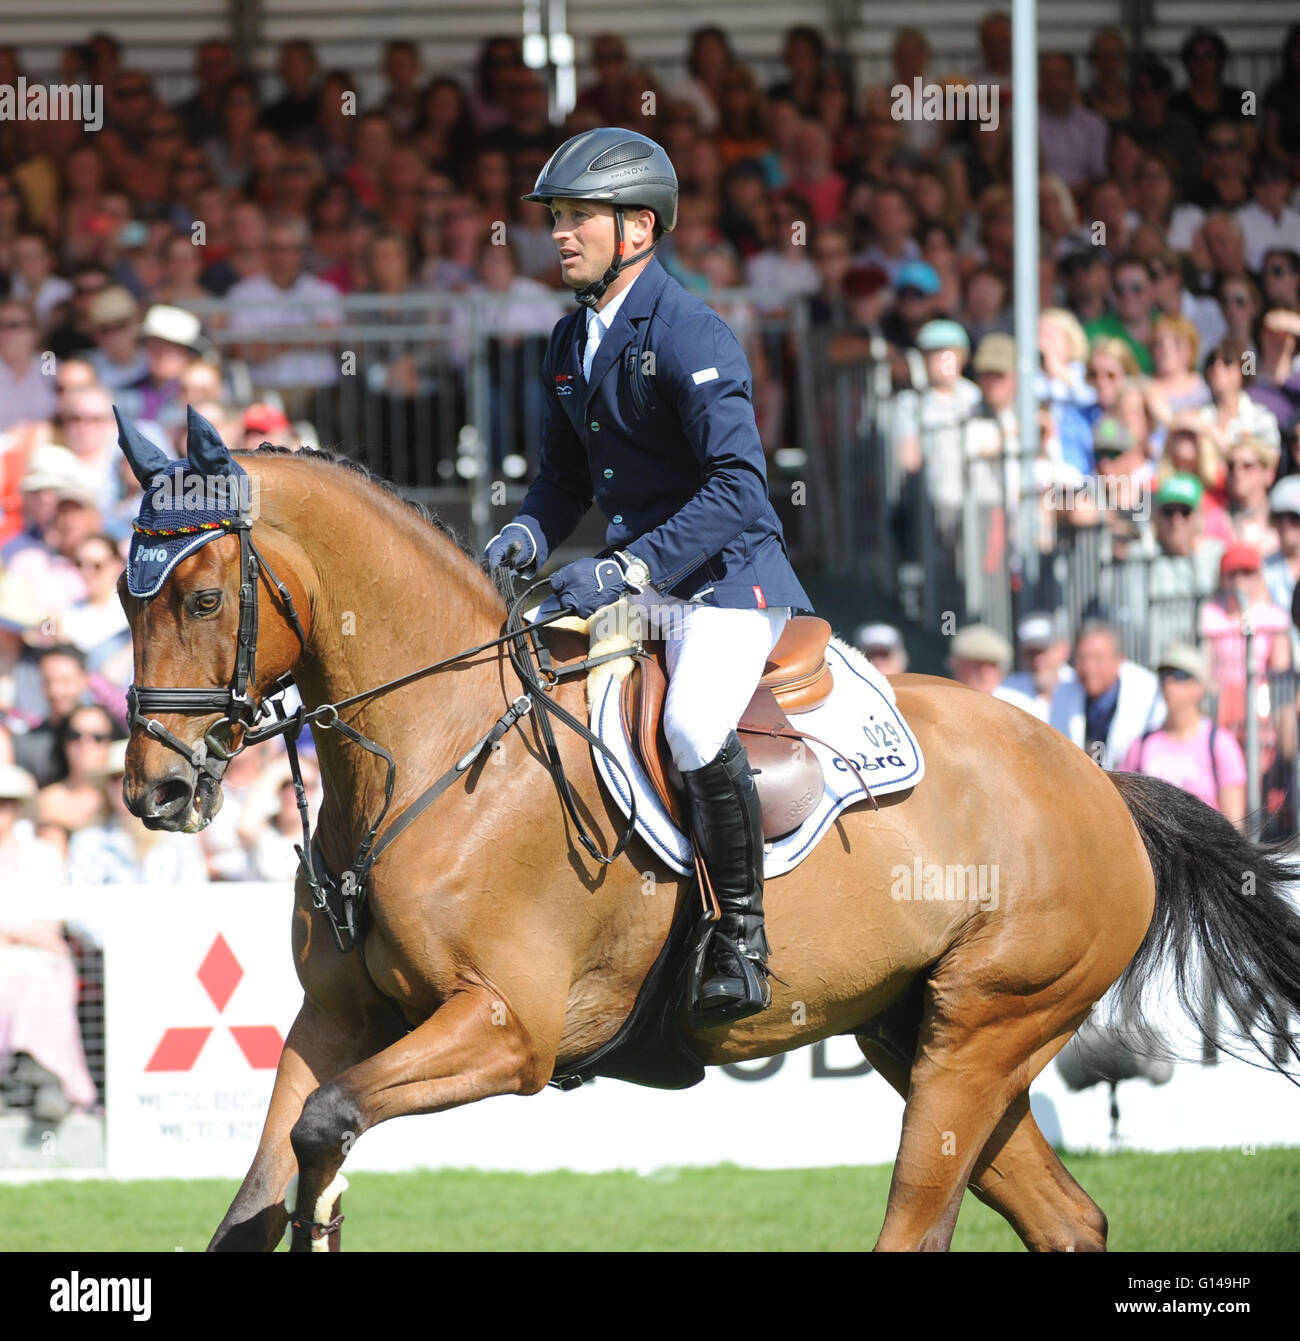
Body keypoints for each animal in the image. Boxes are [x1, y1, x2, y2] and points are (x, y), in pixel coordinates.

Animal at [119, 434, 1298, 1249]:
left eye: (205, 597)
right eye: (128, 605)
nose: (155, 791)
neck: (435, 749)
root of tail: (1097, 781)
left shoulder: (507, 1031)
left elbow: (326, 1129)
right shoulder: (335, 1018)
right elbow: (266, 1182)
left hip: (987, 1028)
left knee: (923, 1221)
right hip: (922, 1034)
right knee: (1065, 1219)